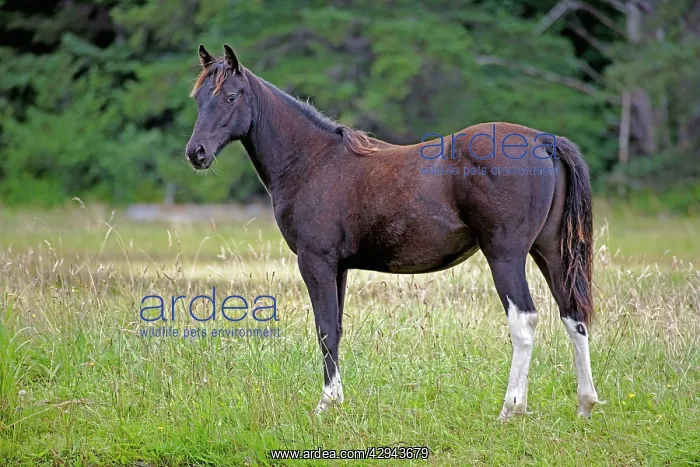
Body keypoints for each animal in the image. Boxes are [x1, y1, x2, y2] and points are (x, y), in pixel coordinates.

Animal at [185, 44, 600, 419]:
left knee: (524, 321)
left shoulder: (315, 262)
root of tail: (542, 141)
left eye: (231, 96)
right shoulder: (338, 268)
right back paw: (585, 404)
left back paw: (511, 408)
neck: (312, 161)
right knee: (572, 316)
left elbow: (324, 329)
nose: (196, 153)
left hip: (506, 256)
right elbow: (336, 328)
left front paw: (326, 404)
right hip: (550, 252)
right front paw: (337, 400)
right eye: (200, 99)